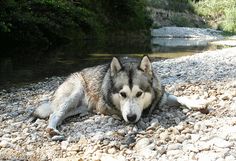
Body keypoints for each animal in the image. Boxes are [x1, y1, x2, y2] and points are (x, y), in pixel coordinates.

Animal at [32, 56, 206, 136]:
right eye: (122, 94)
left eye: (139, 93)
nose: (131, 117)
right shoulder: (105, 106)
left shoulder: (161, 96)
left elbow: (180, 97)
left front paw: (196, 103)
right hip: (73, 95)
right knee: (55, 114)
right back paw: (52, 128)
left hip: (77, 108)